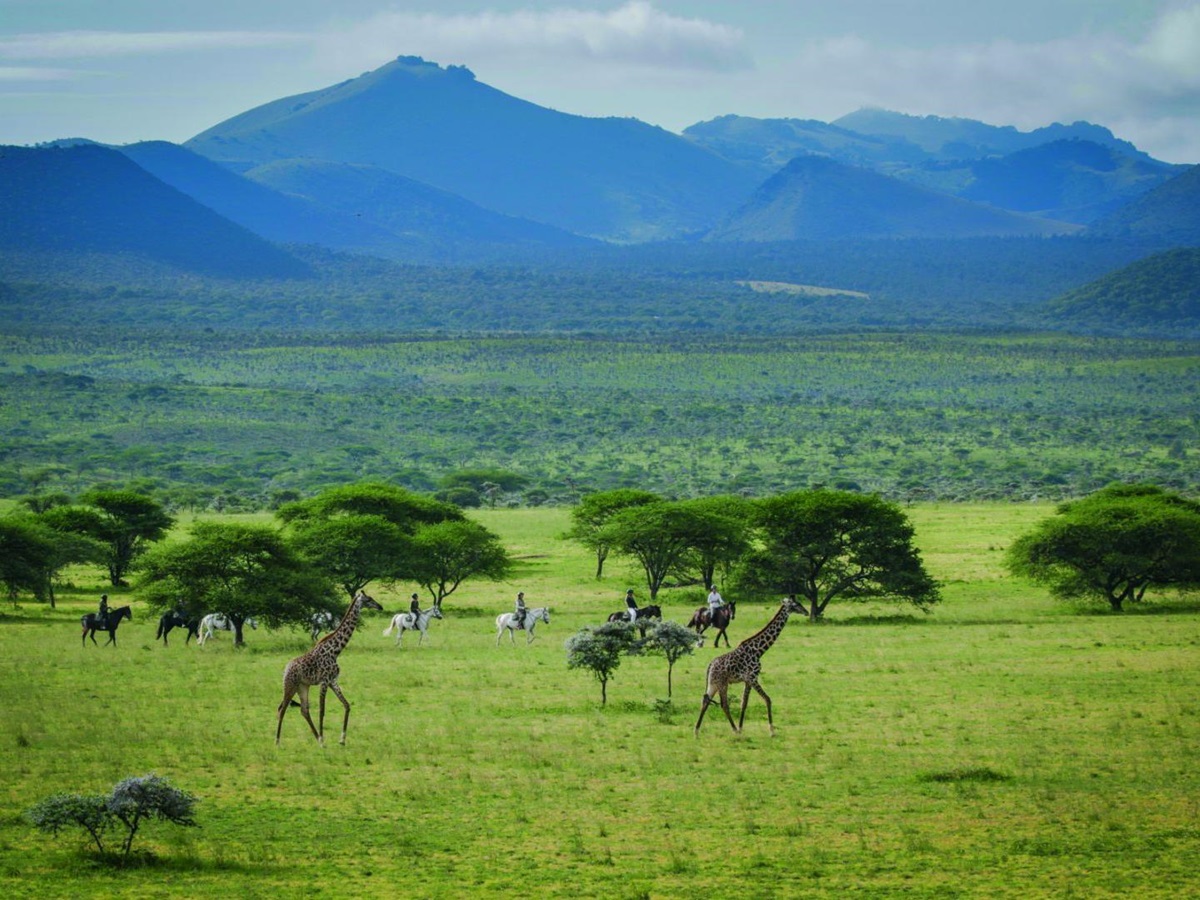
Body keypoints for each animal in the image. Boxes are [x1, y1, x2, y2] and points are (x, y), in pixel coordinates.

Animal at [275, 589, 383, 746]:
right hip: (290, 685)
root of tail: (285, 669)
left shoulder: (333, 681)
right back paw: (277, 741)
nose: (380, 607)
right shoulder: (324, 681)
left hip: (303, 686)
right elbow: (322, 710)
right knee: (282, 708)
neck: (336, 651)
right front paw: (324, 738)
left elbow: (347, 705)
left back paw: (316, 739)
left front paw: (341, 740)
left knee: (304, 710)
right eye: (368, 599)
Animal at [694, 596, 805, 737]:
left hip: (713, 683)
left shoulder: (747, 680)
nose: (806, 611)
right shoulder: (752, 678)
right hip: (722, 683)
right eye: (796, 605)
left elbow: (744, 703)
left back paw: (697, 731)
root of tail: (710, 665)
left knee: (705, 700)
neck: (759, 651)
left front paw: (742, 728)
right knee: (724, 704)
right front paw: (771, 730)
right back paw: (734, 729)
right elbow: (767, 699)